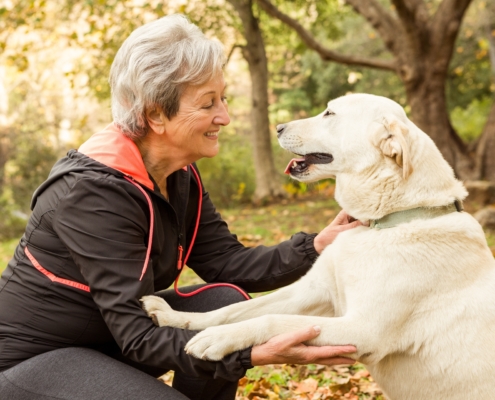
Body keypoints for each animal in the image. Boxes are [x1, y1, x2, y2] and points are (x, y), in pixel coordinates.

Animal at [142, 94, 495, 400]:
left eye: (330, 113)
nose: (278, 127)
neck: (385, 222)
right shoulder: (311, 292)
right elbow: (229, 311)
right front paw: (177, 318)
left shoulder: (360, 328)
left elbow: (270, 321)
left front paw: (217, 339)